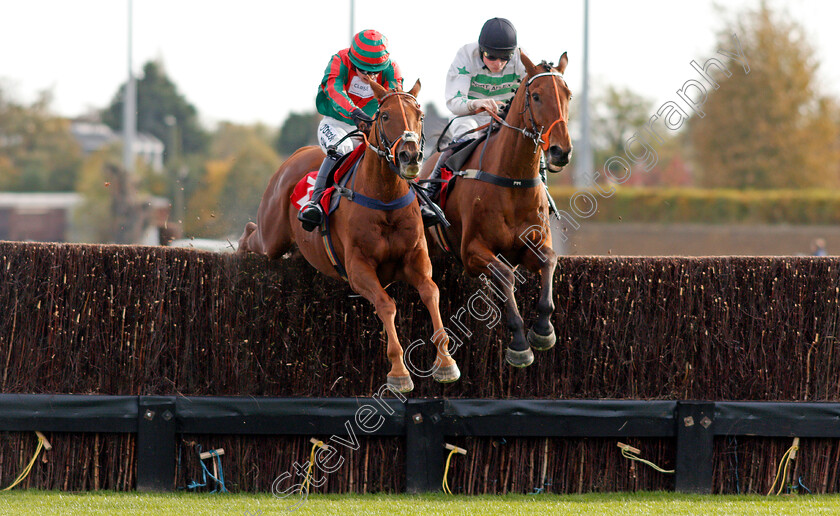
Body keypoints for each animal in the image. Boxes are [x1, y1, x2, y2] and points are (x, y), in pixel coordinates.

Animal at [236, 79, 460, 396]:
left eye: (420, 116)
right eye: (385, 116)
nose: (410, 156)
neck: (385, 199)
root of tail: (296, 155)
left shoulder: (416, 258)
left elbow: (431, 292)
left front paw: (446, 363)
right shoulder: (358, 269)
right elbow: (386, 305)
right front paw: (399, 373)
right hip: (273, 236)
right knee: (251, 233)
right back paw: (239, 252)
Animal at [418, 51, 572, 366]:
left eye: (568, 95)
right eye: (536, 96)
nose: (560, 151)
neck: (512, 181)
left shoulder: (532, 245)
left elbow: (550, 261)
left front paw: (543, 330)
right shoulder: (472, 251)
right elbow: (505, 275)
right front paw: (519, 344)